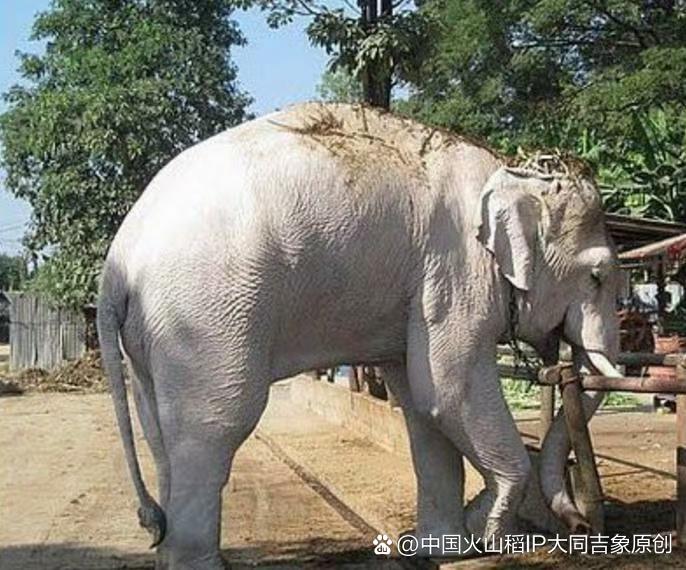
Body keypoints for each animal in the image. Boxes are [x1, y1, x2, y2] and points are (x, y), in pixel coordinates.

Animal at [97, 102, 622, 569]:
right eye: (598, 277)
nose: (581, 528)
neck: (509, 169)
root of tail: (117, 261)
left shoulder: (422, 289)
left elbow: (421, 407)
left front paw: (442, 550)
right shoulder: (456, 273)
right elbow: (448, 394)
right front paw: (484, 532)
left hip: (153, 335)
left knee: (159, 430)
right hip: (207, 314)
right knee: (214, 426)